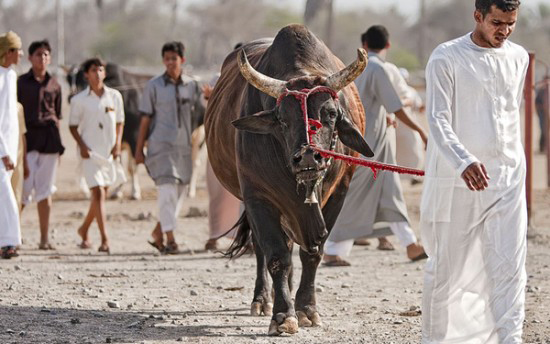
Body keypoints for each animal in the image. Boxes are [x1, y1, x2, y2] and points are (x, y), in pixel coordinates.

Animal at [207, 24, 376, 336]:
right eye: (282, 118)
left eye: (330, 113)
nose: (309, 157)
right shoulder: (258, 196)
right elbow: (276, 255)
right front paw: (283, 315)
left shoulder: (338, 194)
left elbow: (312, 254)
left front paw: (307, 309)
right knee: (262, 250)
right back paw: (263, 299)